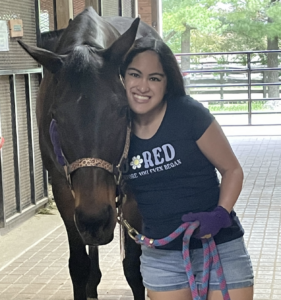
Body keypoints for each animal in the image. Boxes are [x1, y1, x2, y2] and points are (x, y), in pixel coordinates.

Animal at [18, 6, 160, 300]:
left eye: (123, 109)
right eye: (55, 116)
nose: (95, 221)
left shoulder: (132, 194)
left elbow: (134, 267)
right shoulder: (63, 189)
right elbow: (78, 266)